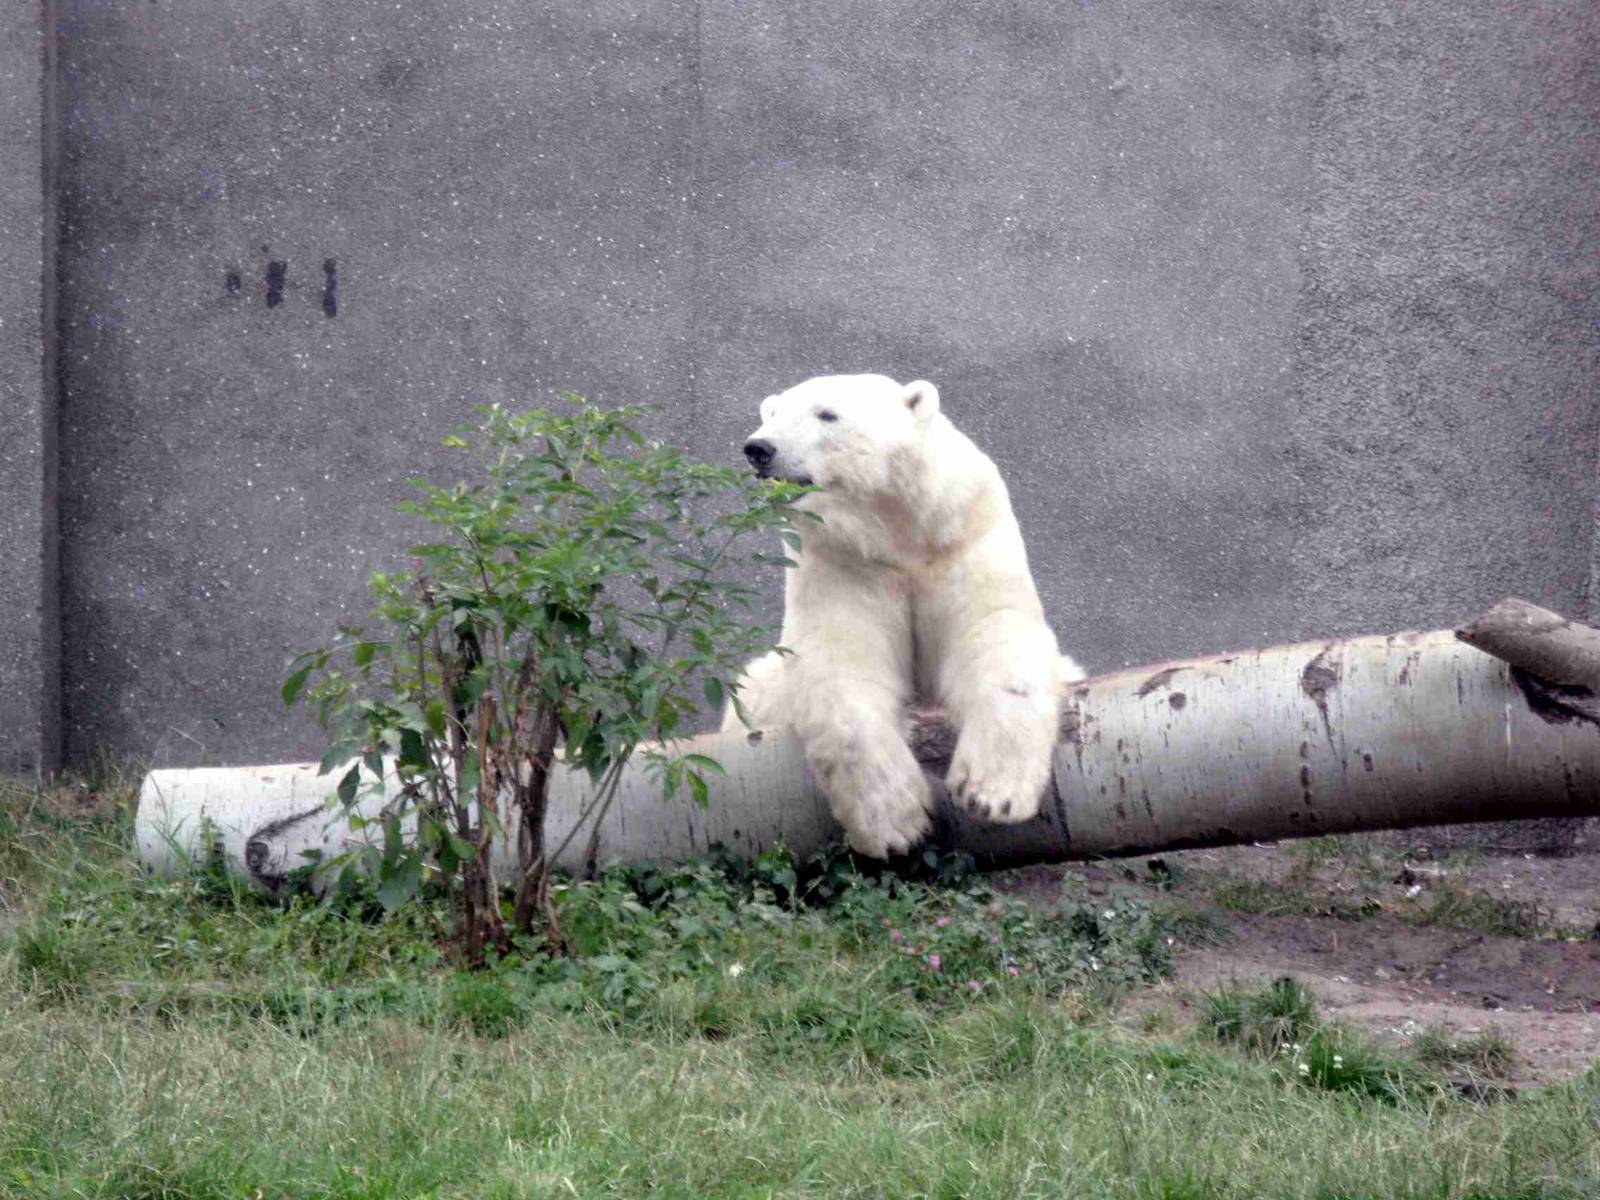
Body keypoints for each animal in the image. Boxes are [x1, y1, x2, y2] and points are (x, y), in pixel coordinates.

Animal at [724, 373, 1084, 859]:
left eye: (827, 414)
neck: (896, 534)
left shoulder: (961, 537)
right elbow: (843, 665)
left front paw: (990, 794)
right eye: (774, 413)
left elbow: (993, 630)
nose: (759, 448)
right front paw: (897, 826)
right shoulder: (841, 561)